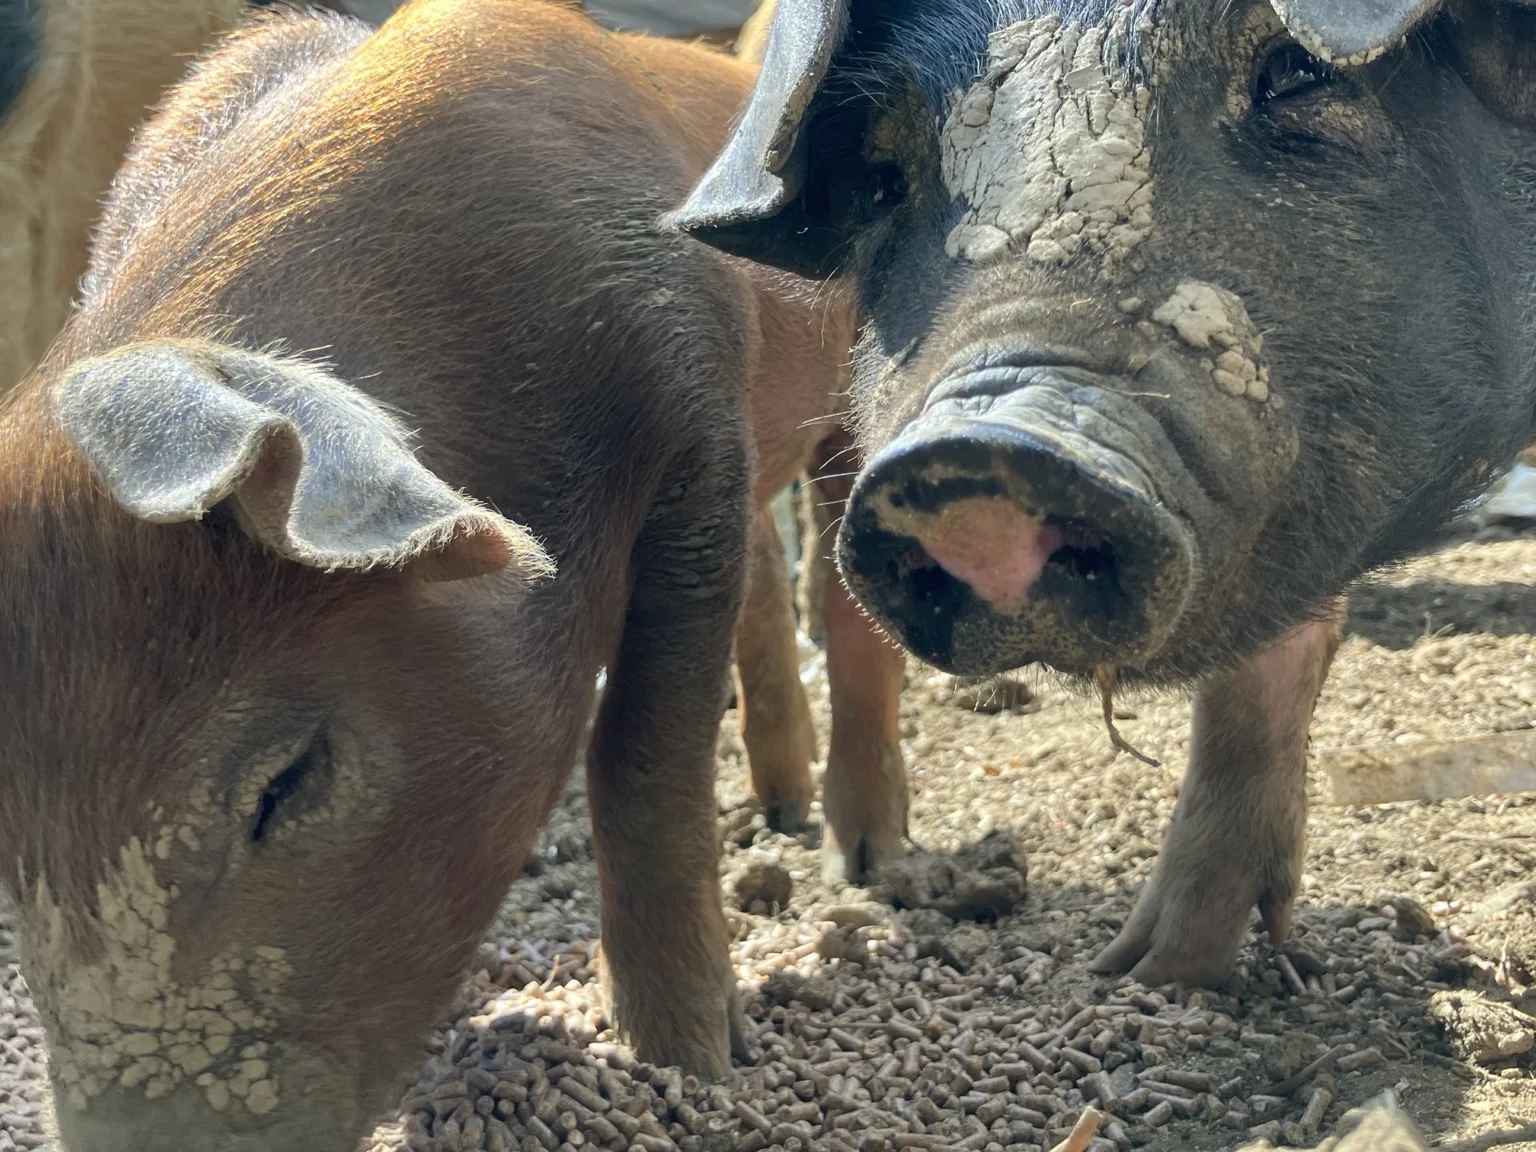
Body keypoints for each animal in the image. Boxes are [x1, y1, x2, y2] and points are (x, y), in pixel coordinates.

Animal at [0, 0, 902, 1146]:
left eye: (288, 779)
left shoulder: (694, 411)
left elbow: (643, 756)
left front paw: (693, 1065)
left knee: (842, 586)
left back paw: (865, 866)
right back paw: (774, 817)